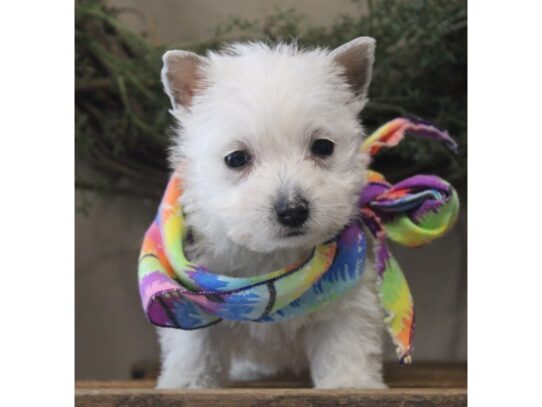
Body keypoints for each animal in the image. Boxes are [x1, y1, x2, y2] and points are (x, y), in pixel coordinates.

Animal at [156, 39, 386, 392]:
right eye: (236, 158)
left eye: (323, 146)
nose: (292, 211)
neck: (272, 268)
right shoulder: (192, 299)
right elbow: (193, 347)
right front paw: (185, 384)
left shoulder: (348, 295)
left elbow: (345, 344)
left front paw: (350, 383)